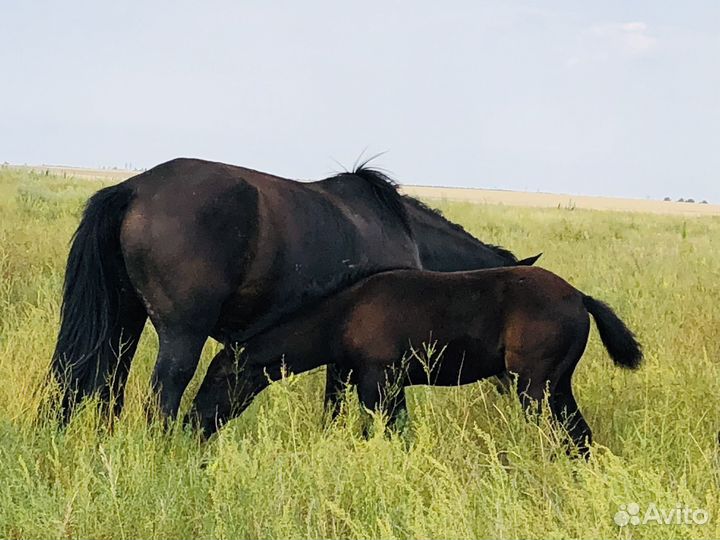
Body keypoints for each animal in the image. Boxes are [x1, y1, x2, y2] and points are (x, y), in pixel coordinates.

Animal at [51, 157, 539, 421]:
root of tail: (133, 189)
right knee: (164, 395)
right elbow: (338, 405)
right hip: (181, 334)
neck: (407, 235)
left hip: (124, 321)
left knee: (106, 382)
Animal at [190, 266, 642, 456]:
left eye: (219, 378)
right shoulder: (378, 384)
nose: (192, 422)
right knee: (579, 436)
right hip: (556, 386)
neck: (346, 314)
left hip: (535, 387)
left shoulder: (378, 383)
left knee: (562, 433)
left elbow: (383, 431)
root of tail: (579, 297)